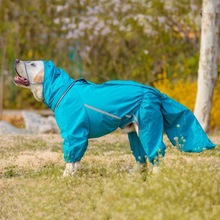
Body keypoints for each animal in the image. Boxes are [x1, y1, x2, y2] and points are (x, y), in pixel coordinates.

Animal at [12, 59, 216, 176]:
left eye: (32, 64)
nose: (16, 59)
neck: (60, 88)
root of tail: (154, 92)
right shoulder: (77, 137)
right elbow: (75, 162)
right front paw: (73, 176)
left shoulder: (74, 135)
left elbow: (71, 159)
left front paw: (65, 178)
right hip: (134, 131)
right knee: (140, 157)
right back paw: (134, 175)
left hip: (147, 126)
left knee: (155, 152)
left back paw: (156, 176)